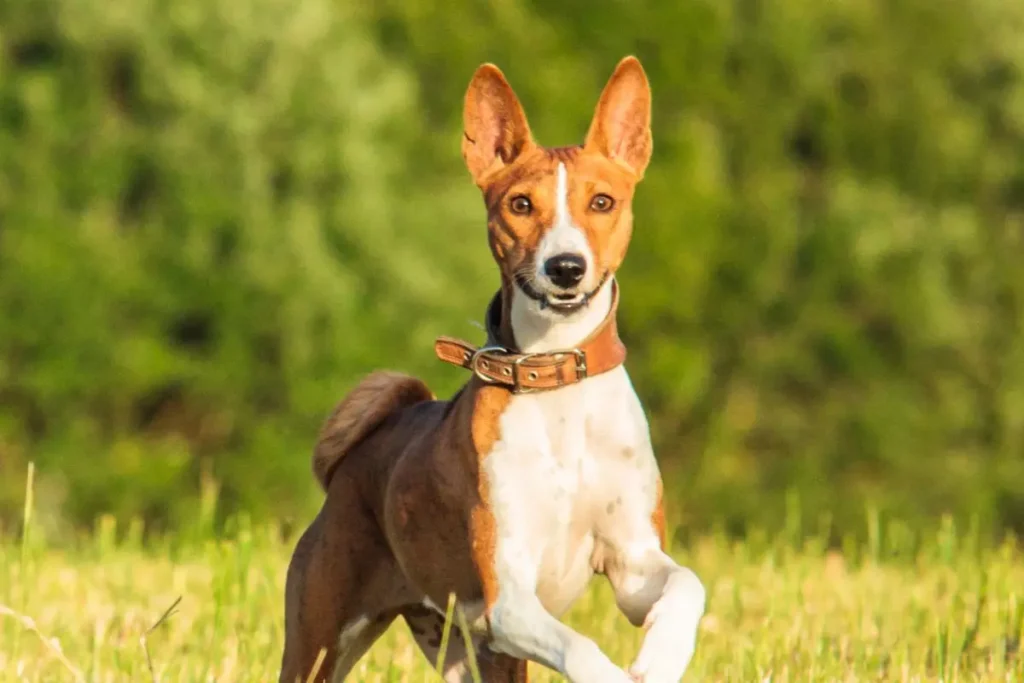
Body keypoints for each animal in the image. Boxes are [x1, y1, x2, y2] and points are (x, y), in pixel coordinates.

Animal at [284, 57, 708, 683]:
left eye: (602, 202)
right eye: (521, 205)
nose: (565, 267)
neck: (558, 383)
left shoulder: (633, 562)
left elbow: (687, 585)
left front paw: (660, 658)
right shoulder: (507, 600)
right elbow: (582, 647)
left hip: (471, 653)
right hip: (323, 640)